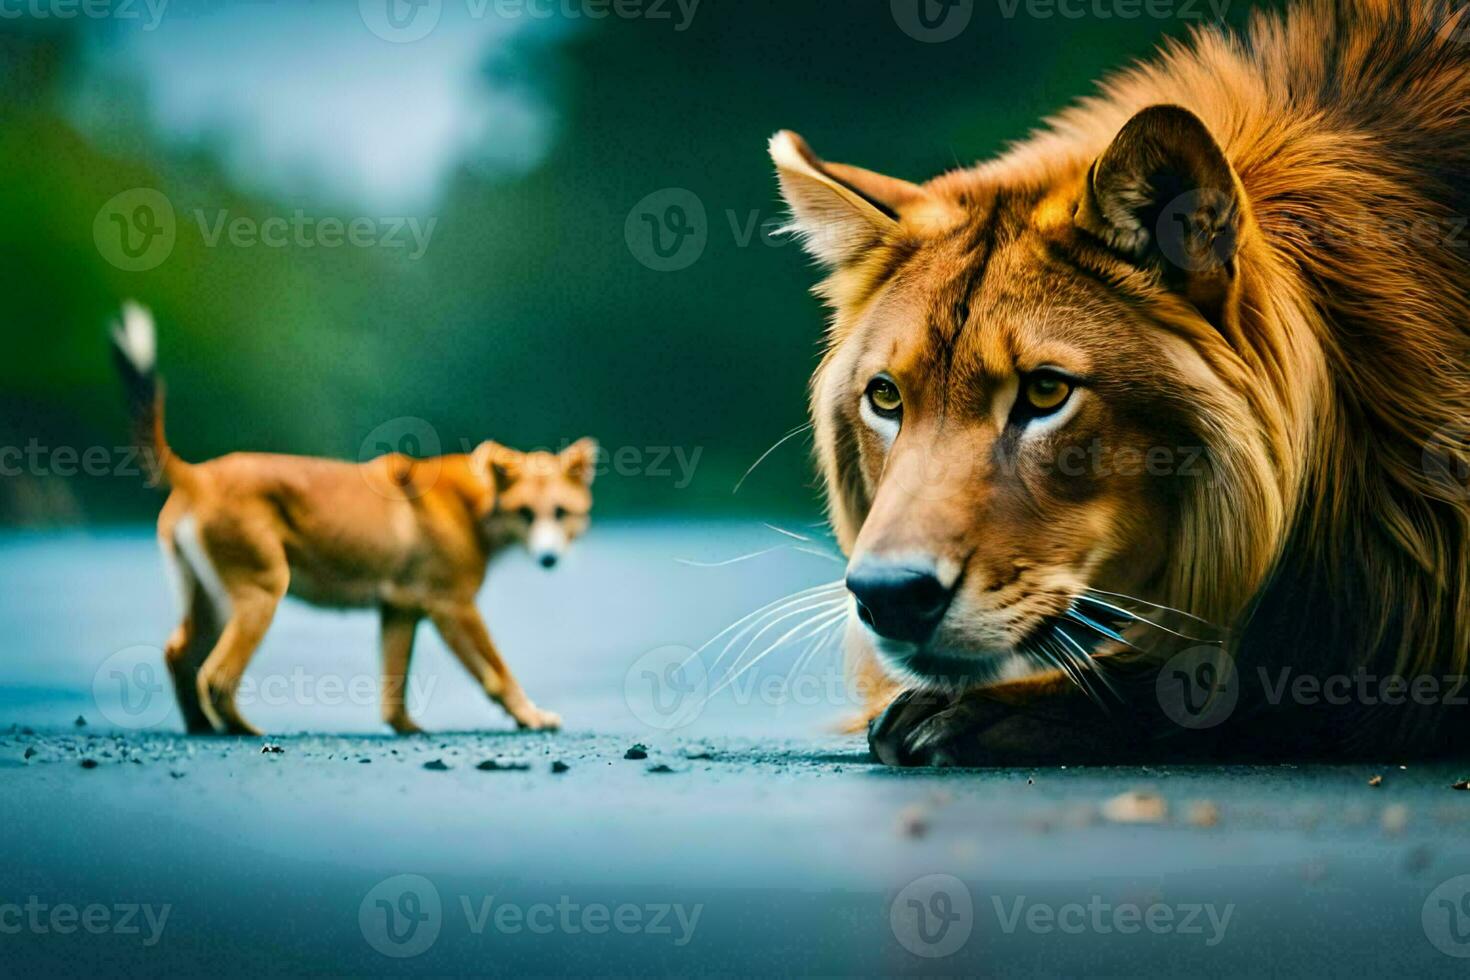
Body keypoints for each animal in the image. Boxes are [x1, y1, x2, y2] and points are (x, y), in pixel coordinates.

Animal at [108, 304, 593, 734]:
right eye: (525, 512)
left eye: (561, 513)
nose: (549, 559)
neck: (474, 503)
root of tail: (198, 474)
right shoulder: (453, 606)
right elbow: (497, 674)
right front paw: (531, 717)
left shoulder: (400, 611)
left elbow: (393, 692)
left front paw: (408, 730)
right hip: (260, 594)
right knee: (216, 676)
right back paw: (243, 731)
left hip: (208, 597)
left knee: (179, 656)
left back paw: (202, 729)